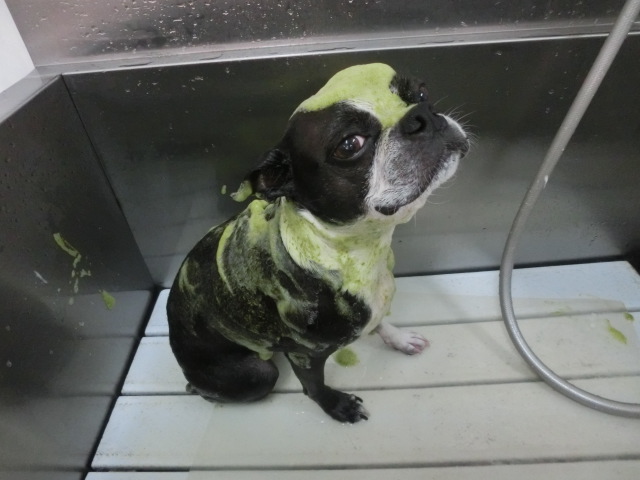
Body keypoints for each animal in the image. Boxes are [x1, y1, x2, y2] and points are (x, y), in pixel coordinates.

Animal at [167, 63, 469, 423]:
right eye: (350, 144)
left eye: (422, 92)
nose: (422, 115)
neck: (355, 250)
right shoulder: (305, 354)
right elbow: (314, 388)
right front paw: (338, 406)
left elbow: (381, 321)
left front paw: (400, 338)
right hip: (258, 375)